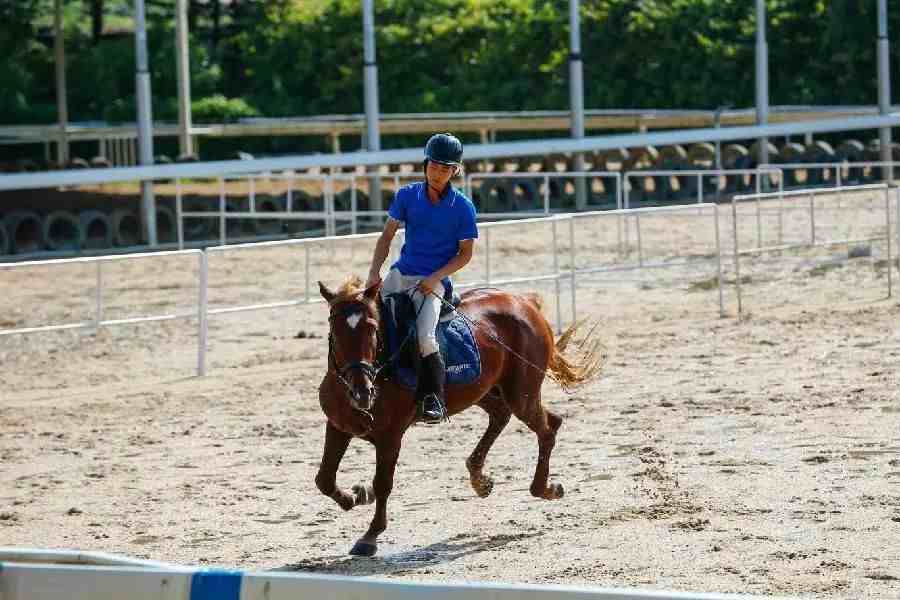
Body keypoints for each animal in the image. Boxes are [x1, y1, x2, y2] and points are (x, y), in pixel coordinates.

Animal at [312, 278, 600, 556]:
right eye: (335, 332)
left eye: (372, 329)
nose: (362, 393)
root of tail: (525, 302)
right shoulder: (338, 426)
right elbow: (324, 479)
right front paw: (355, 497)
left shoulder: (390, 437)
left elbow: (383, 483)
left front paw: (370, 536)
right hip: (483, 390)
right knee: (504, 416)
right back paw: (480, 479)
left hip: (521, 395)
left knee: (547, 427)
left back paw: (543, 489)